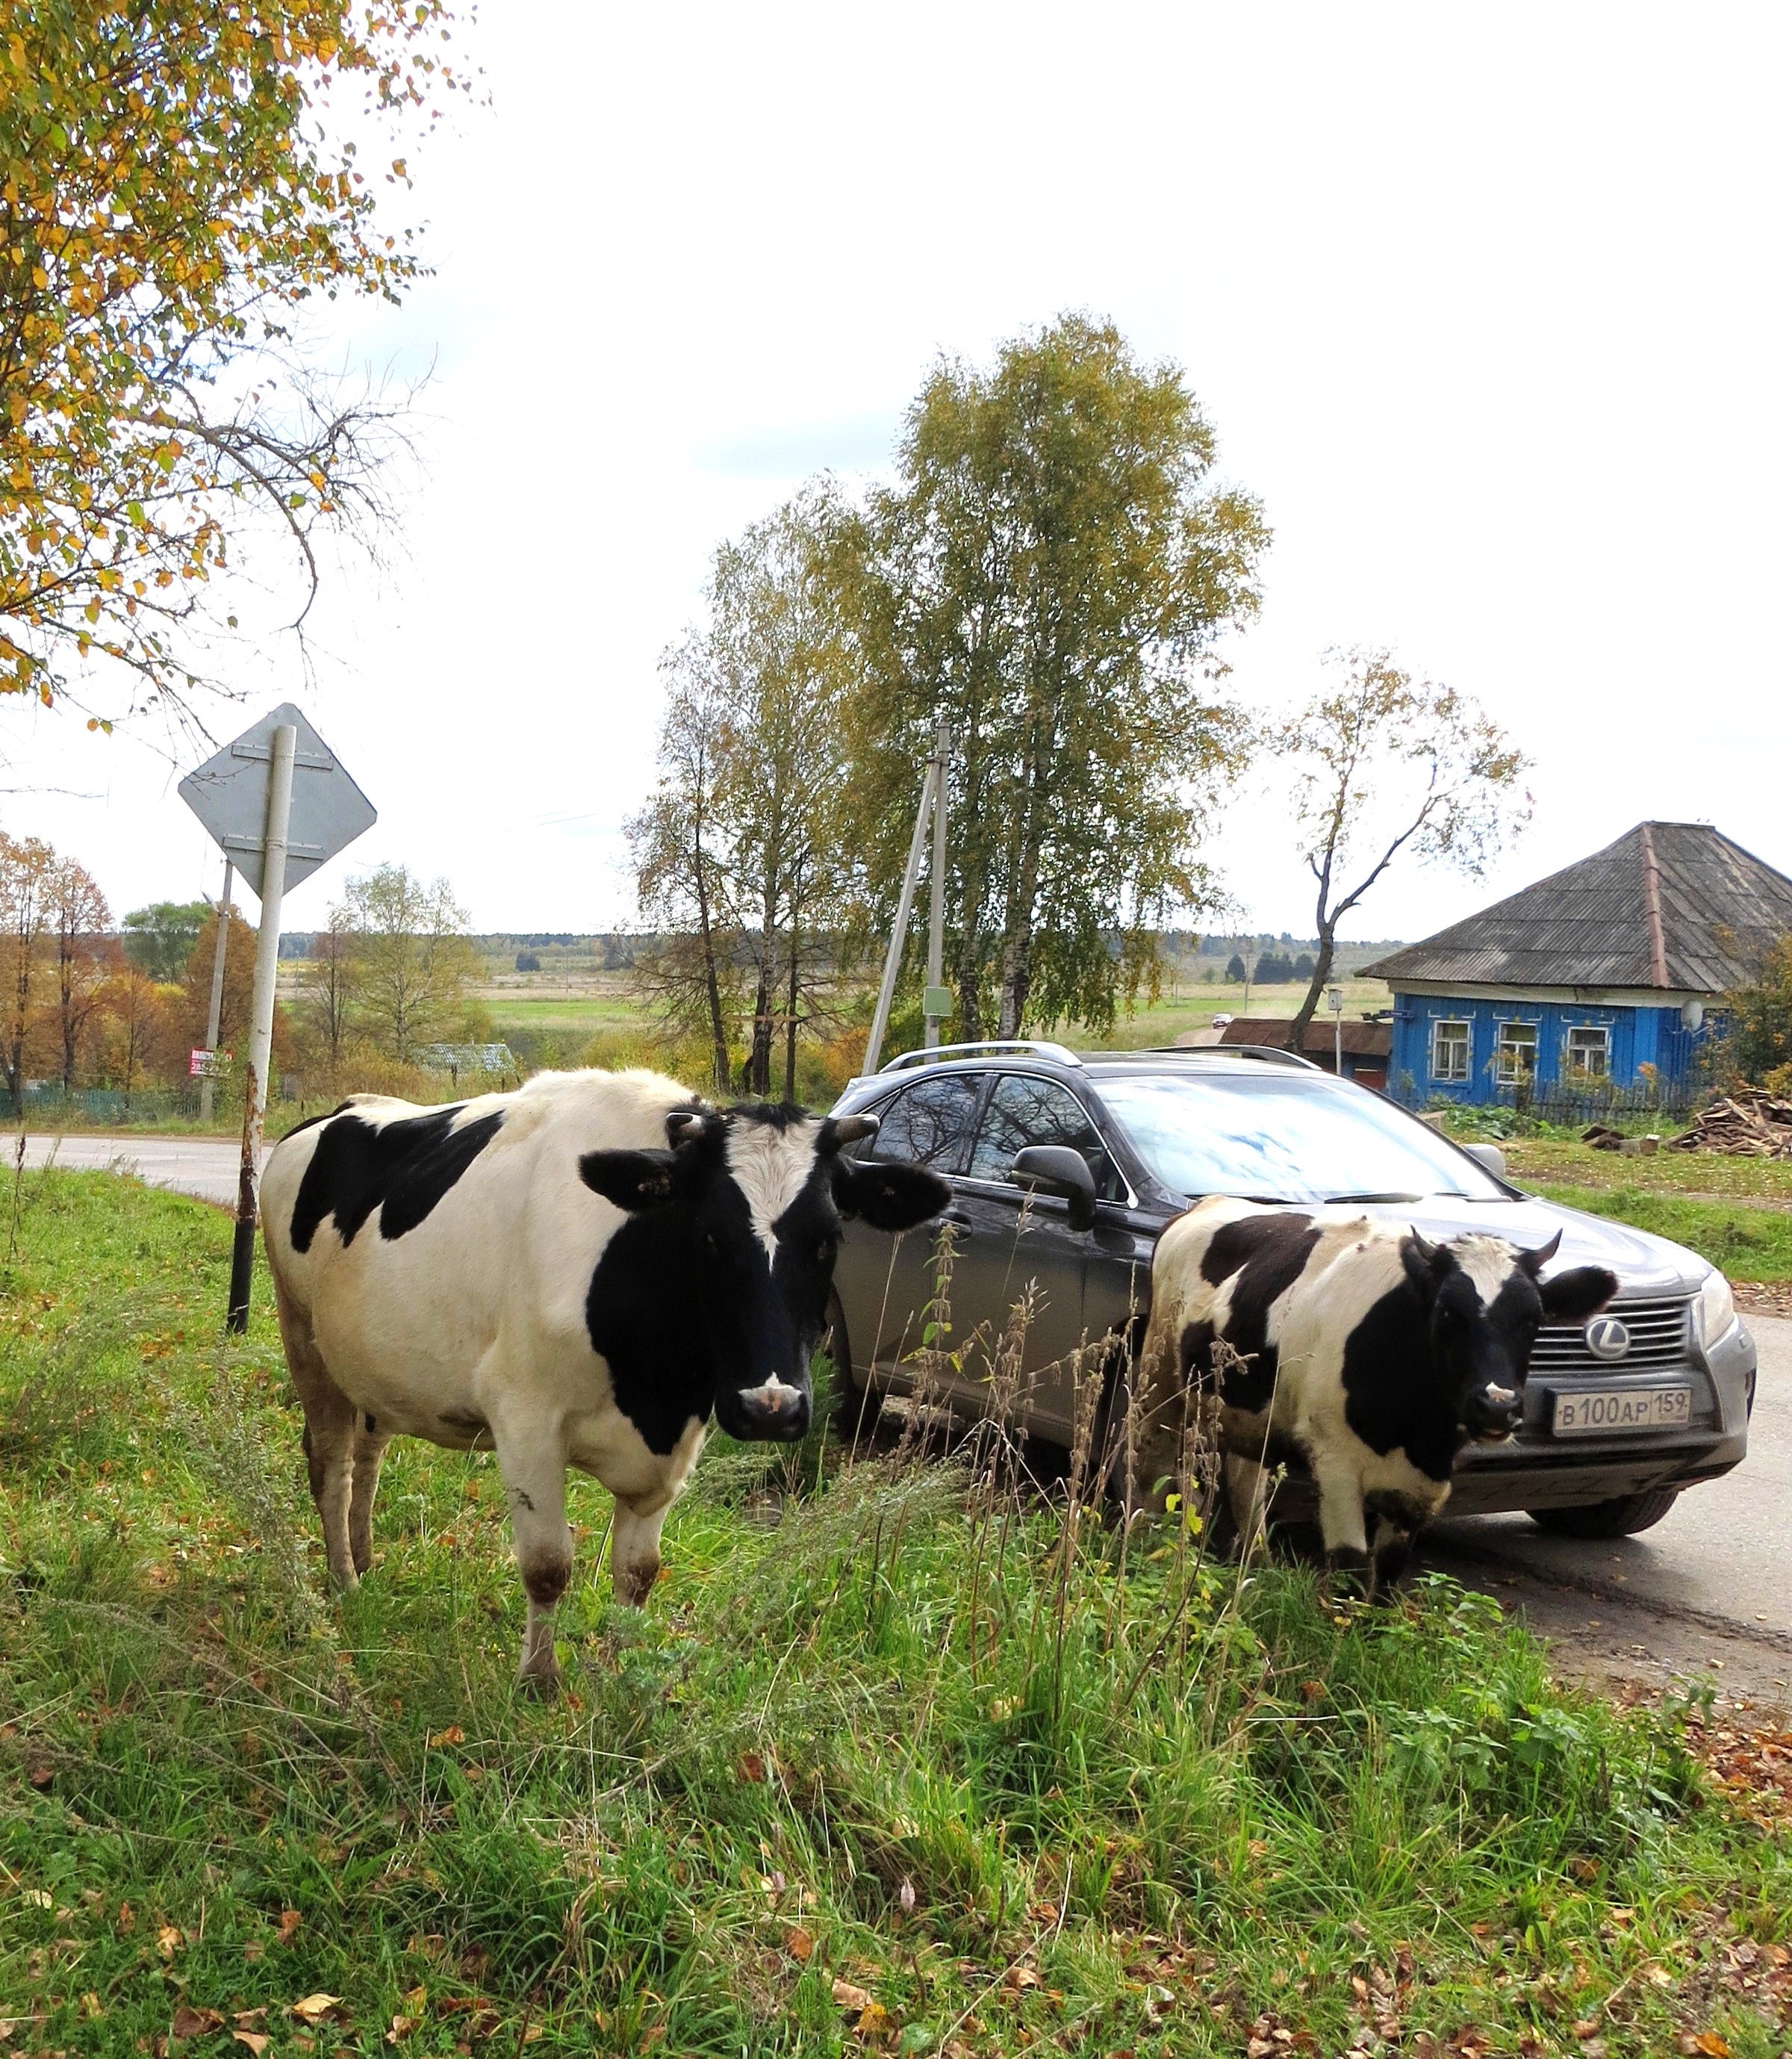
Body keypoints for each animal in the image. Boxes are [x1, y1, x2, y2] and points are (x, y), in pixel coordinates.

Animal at [262, 1070, 954, 1680]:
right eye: (708, 1236)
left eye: (829, 1238)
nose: (771, 1406)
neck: (658, 1384)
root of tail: (345, 1108)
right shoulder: (525, 1419)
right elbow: (547, 1564)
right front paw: (540, 1680)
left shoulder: (676, 1440)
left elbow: (639, 1570)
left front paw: (619, 1672)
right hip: (303, 1339)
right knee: (332, 1467)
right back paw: (344, 1582)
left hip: (373, 1366)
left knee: (369, 1454)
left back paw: (366, 1559)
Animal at [1136, 1194, 1629, 1589]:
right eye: (1447, 1312)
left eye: (1534, 1318)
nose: (1497, 1406)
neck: (1418, 1430)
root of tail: (1205, 1204)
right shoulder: (1335, 1464)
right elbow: (1351, 1571)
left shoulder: (1420, 1487)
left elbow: (1388, 1579)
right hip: (1161, 1384)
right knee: (1149, 1467)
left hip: (1250, 1417)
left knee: (1245, 1484)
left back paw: (1256, 1565)